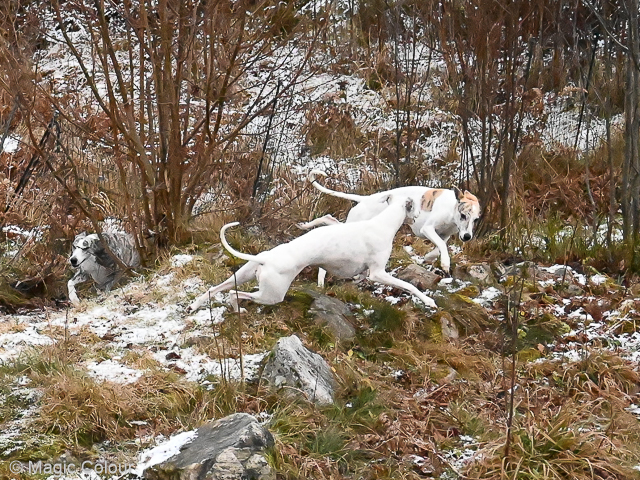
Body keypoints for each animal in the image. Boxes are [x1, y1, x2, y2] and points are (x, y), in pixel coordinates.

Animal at [188, 196, 438, 314]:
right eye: (415, 205)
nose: (419, 217)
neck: (383, 223)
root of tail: (266, 258)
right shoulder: (378, 273)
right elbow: (410, 285)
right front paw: (429, 301)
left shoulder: (366, 272)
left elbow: (360, 277)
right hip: (271, 294)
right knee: (235, 294)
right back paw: (236, 307)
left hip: (243, 275)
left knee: (215, 289)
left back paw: (197, 304)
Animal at [300, 171, 480, 284]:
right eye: (463, 215)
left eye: (476, 219)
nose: (467, 237)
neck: (451, 207)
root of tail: (365, 199)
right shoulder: (427, 229)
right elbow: (441, 245)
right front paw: (445, 263)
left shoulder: (445, 235)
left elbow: (439, 247)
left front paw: (430, 258)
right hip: (355, 225)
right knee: (329, 220)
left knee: (330, 220)